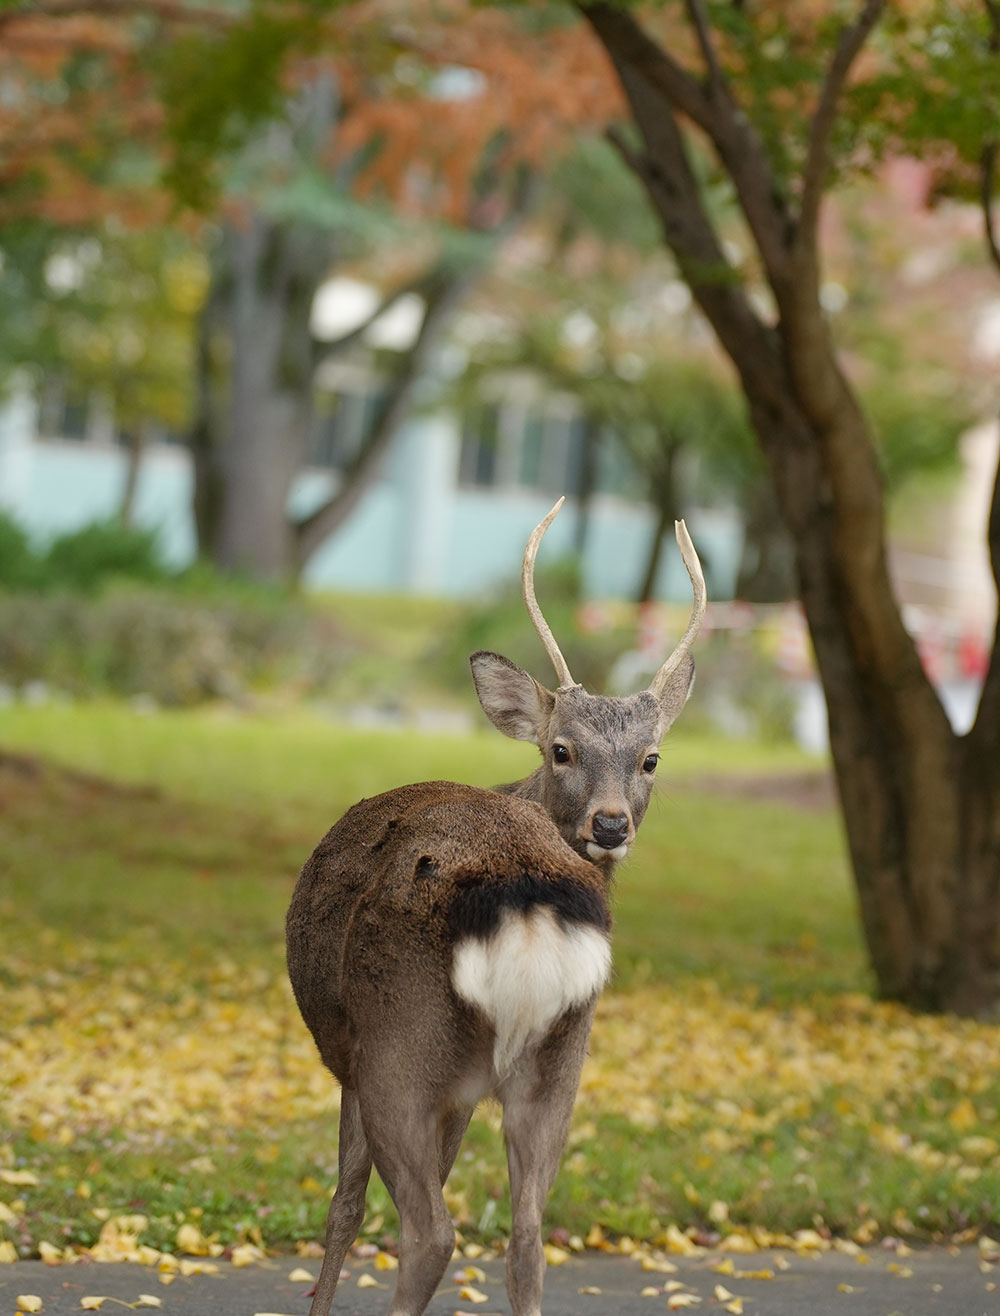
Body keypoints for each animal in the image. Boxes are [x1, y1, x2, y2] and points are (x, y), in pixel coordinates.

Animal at [285, 494, 705, 1316]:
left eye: (650, 759)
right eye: (561, 750)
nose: (612, 824)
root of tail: (525, 901)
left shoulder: (355, 1055)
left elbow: (344, 1205)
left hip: (398, 1040)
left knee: (429, 1231)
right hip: (559, 1057)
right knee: (528, 1238)